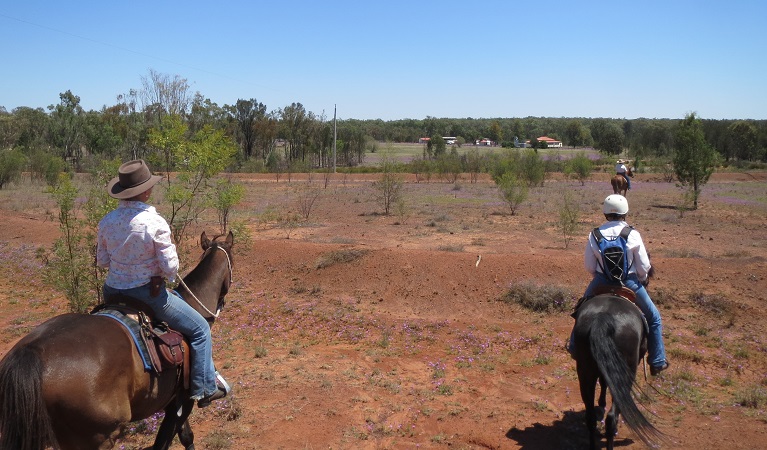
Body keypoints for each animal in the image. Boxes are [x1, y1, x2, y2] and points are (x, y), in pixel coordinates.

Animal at [0, 232, 234, 450]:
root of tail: (31, 352)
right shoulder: (184, 400)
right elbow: (166, 441)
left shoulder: (173, 400)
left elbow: (185, 436)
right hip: (98, 438)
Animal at [568, 294, 664, 448]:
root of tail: (603, 317)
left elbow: (603, 381)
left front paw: (601, 403)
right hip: (625, 375)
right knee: (612, 417)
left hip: (585, 372)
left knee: (590, 417)